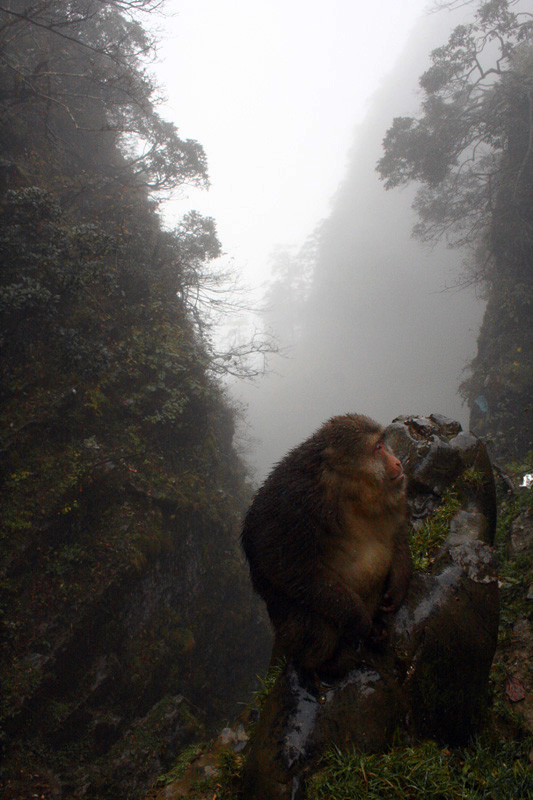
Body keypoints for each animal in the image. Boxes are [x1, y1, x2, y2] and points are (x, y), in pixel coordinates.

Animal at [241, 416, 412, 680]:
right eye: (377, 448)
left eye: (384, 444)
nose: (396, 461)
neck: (351, 490)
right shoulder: (298, 502)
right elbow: (281, 565)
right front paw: (359, 620)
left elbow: (396, 528)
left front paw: (397, 586)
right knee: (313, 618)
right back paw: (323, 665)